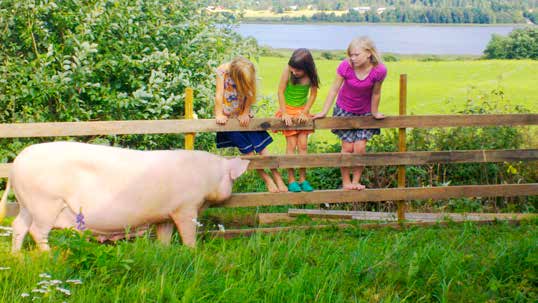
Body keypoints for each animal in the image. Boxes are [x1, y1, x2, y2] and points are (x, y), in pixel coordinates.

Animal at [0, 142, 248, 252]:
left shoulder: (166, 214)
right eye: (231, 179)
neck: (208, 175)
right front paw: (193, 252)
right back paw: (49, 256)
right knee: (37, 232)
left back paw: (17, 257)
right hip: (45, 203)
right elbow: (188, 235)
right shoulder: (186, 208)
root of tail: (16, 165)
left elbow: (165, 236)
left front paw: (164, 252)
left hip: (27, 204)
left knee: (18, 226)